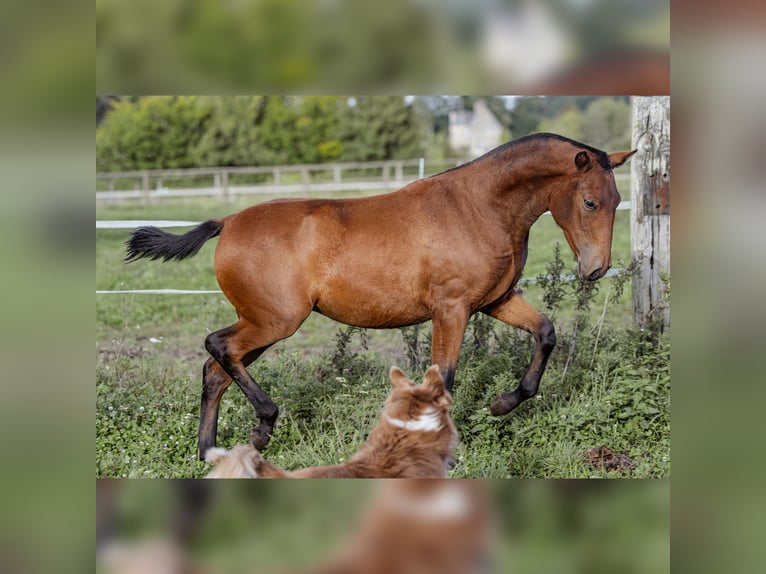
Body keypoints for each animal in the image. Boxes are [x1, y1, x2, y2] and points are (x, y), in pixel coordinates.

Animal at [126, 133, 636, 462]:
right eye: (590, 202)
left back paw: (211, 451)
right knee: (218, 347)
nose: (595, 269)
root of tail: (227, 222)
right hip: (274, 321)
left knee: (216, 369)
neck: (478, 209)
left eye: (616, 202)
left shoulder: (495, 300)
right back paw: (263, 426)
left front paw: (502, 403)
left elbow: (546, 333)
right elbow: (444, 380)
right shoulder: (451, 310)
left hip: (264, 324)